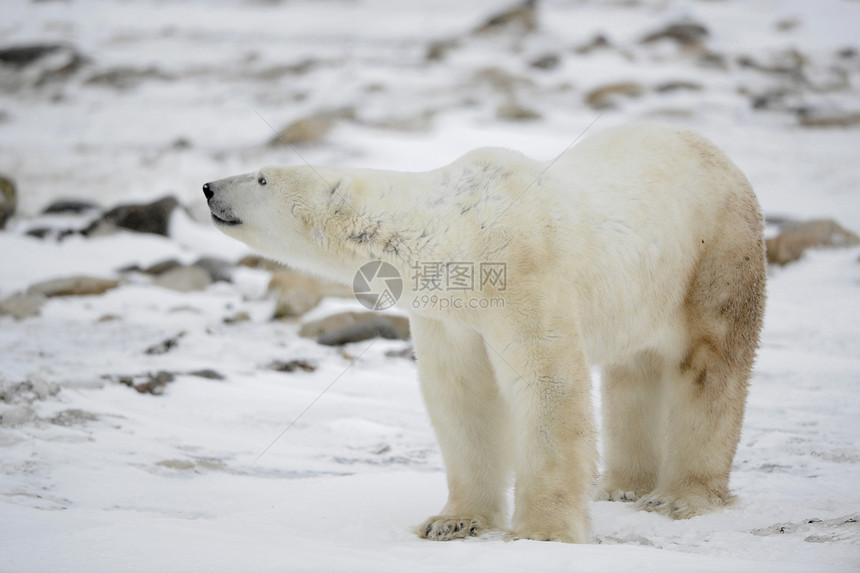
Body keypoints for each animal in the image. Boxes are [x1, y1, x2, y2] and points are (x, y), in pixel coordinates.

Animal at [203, 120, 764, 540]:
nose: (208, 187)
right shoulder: (449, 313)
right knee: (634, 371)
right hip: (641, 289)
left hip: (713, 256)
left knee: (709, 368)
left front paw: (542, 531)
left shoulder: (525, 274)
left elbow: (546, 386)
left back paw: (682, 497)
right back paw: (622, 486)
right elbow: (462, 396)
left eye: (262, 178)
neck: (457, 232)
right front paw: (452, 522)